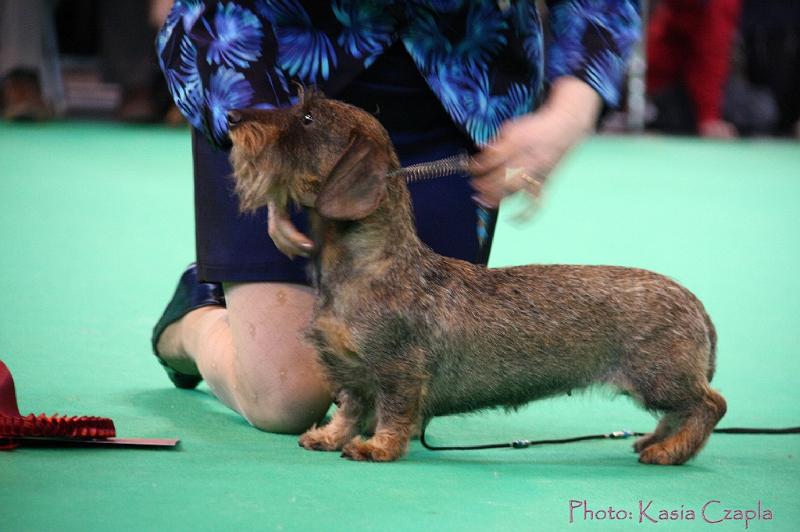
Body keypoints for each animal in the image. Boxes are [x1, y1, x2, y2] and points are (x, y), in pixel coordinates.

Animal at [225, 93, 724, 464]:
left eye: (307, 117)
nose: (229, 116)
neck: (371, 266)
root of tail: (695, 303)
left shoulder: (398, 371)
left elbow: (391, 413)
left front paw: (376, 447)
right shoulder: (348, 369)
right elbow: (349, 408)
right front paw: (330, 437)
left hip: (658, 376)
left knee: (709, 404)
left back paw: (671, 450)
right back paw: (656, 440)